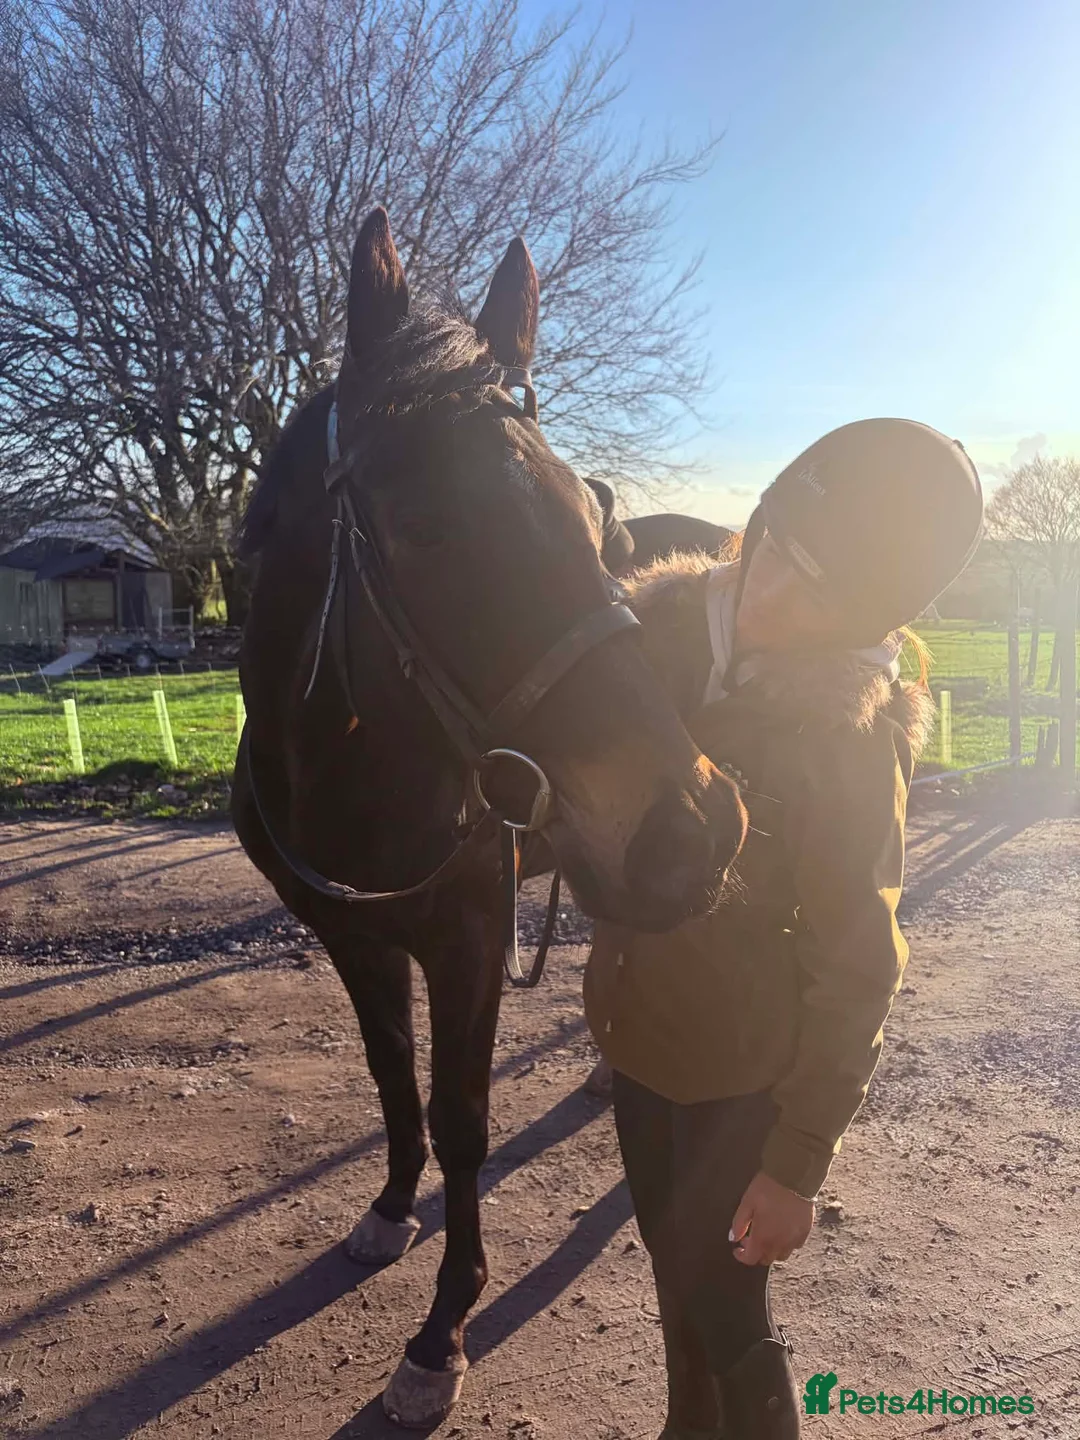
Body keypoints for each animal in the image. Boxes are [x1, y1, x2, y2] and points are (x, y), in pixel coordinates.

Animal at [231, 207, 748, 1427]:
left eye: (589, 520)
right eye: (422, 526)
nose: (691, 827)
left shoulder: (470, 941)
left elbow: (464, 1120)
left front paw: (440, 1332)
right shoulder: (354, 938)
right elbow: (391, 1077)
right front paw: (387, 1210)